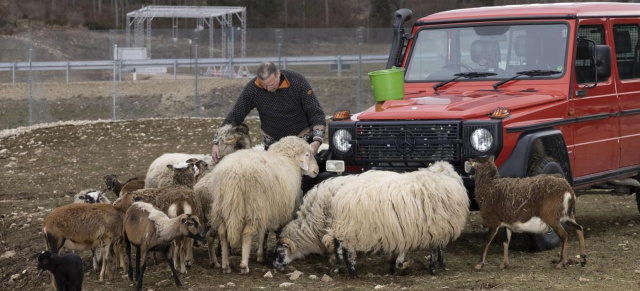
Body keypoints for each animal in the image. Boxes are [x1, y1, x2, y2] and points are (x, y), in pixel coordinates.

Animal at [209, 136, 320, 274]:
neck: (287, 159)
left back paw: (225, 265)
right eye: (308, 155)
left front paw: (261, 255)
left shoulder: (268, 209)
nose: (317, 170)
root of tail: (234, 174)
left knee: (223, 232)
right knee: (246, 233)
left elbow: (263, 232)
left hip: (223, 206)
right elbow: (269, 232)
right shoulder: (277, 211)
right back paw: (244, 265)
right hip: (253, 205)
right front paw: (263, 255)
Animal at [322, 162, 468, 278]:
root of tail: (339, 196)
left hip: (347, 226)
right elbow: (434, 247)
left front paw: (396, 266)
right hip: (352, 228)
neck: (443, 178)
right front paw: (434, 267)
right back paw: (352, 272)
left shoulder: (416, 228)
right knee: (346, 248)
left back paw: (341, 267)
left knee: (338, 244)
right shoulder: (436, 225)